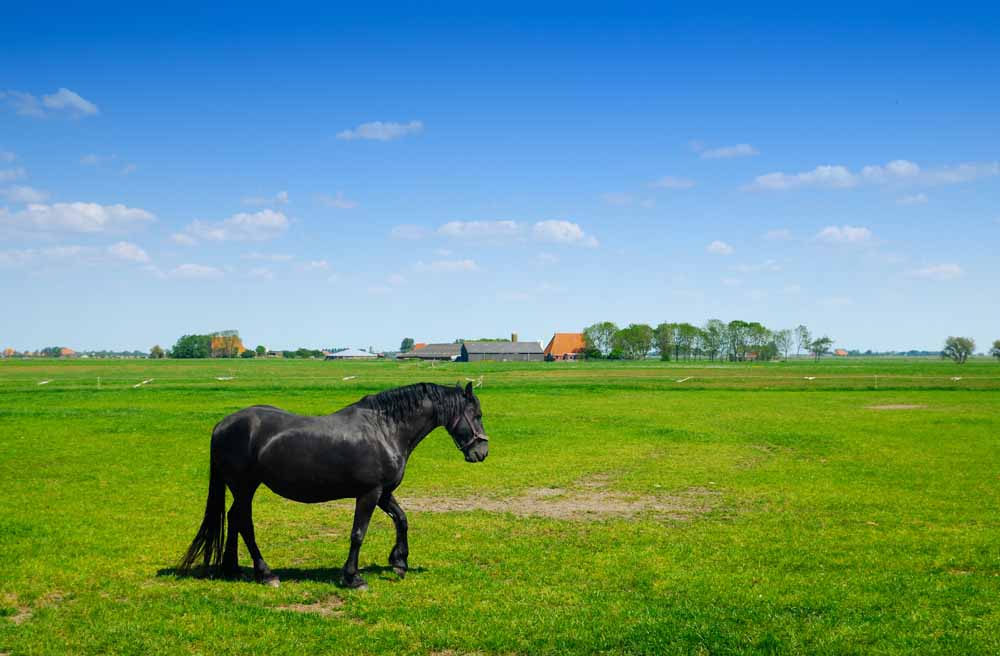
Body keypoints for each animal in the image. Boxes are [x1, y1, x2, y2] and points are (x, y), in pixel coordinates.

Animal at [182, 380, 494, 588]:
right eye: (477, 415)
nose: (482, 452)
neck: (385, 430)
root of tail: (222, 425)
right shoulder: (369, 494)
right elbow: (358, 534)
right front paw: (353, 577)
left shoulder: (384, 493)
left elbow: (402, 519)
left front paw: (399, 562)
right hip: (244, 487)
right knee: (244, 522)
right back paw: (265, 574)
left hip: (242, 489)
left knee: (234, 519)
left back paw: (232, 569)